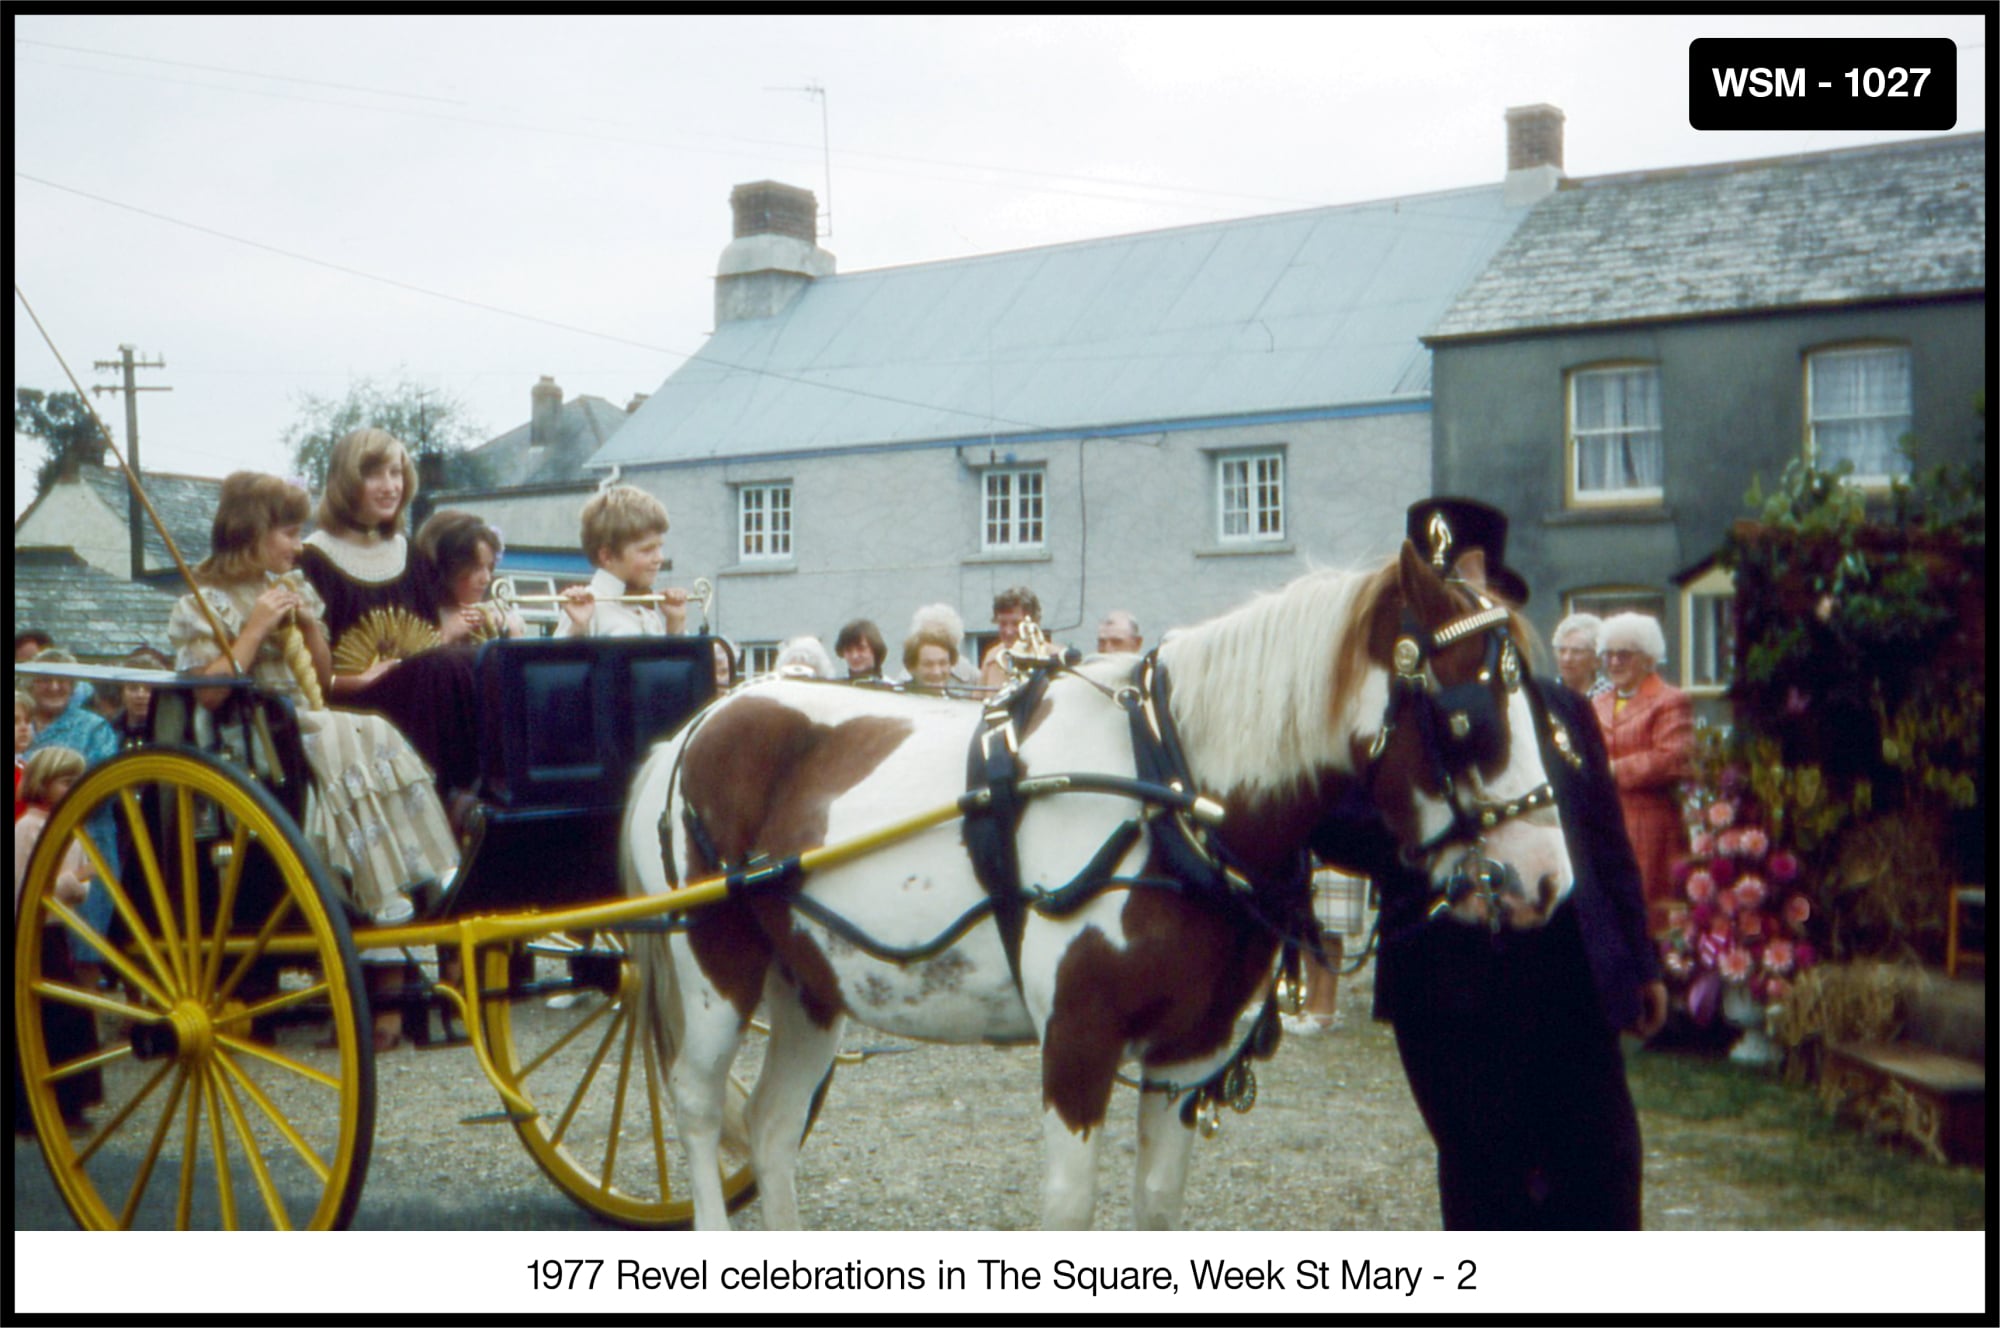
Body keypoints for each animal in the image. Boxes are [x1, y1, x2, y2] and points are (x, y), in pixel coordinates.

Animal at [624, 544, 1576, 1232]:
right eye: (1468, 718)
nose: (1546, 879)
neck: (1171, 790)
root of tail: (700, 724)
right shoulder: (1077, 1044)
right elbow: (1069, 1212)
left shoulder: (1186, 1056)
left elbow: (1156, 1207)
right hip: (714, 970)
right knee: (701, 1110)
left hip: (809, 986)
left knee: (771, 1128)